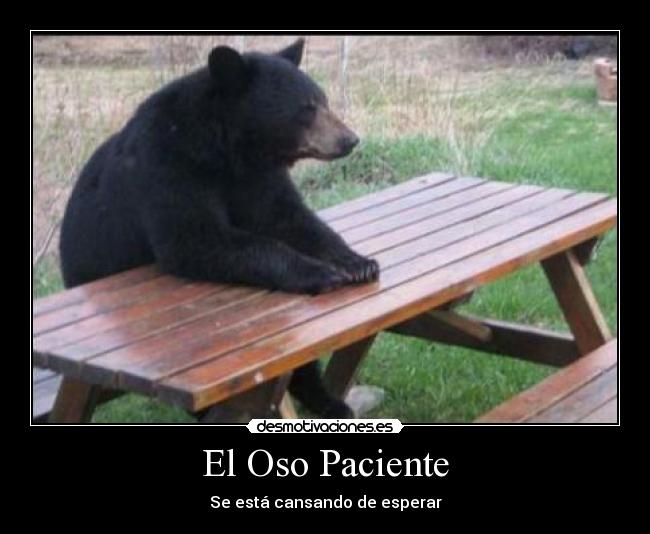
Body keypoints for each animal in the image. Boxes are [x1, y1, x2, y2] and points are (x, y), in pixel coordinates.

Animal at [59, 38, 379, 419]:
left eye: (323, 100)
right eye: (306, 108)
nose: (350, 139)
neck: (228, 149)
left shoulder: (257, 177)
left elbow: (290, 218)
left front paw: (357, 262)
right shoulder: (167, 167)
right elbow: (197, 239)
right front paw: (321, 272)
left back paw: (329, 401)